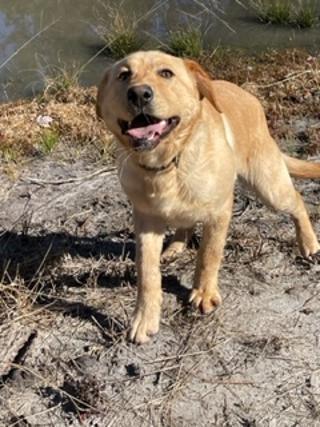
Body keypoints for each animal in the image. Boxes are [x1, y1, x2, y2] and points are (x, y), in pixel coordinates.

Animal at [96, 50, 320, 344]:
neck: (168, 163)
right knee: (184, 223)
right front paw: (144, 317)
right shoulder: (145, 221)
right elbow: (147, 272)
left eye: (166, 73)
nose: (139, 94)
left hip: (269, 186)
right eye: (124, 75)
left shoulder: (219, 211)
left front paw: (203, 293)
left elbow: (208, 255)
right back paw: (176, 246)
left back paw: (308, 242)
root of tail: (247, 95)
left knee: (296, 200)